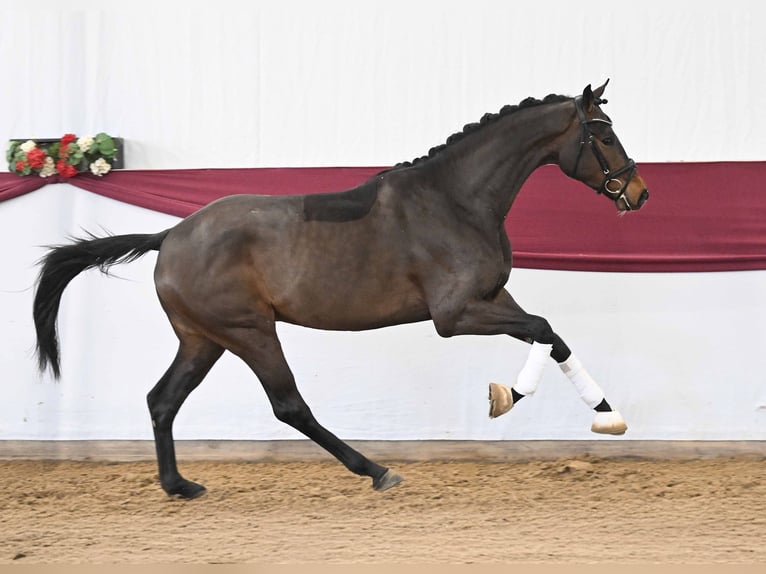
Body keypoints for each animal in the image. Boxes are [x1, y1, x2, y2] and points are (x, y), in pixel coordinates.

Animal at [33, 80, 649, 499]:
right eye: (604, 133)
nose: (638, 192)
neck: (455, 199)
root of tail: (170, 236)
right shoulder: (455, 315)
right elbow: (543, 330)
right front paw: (508, 397)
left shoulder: (493, 299)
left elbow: (552, 336)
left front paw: (606, 415)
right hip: (250, 332)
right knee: (288, 405)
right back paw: (376, 470)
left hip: (203, 339)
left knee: (162, 400)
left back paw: (179, 485)